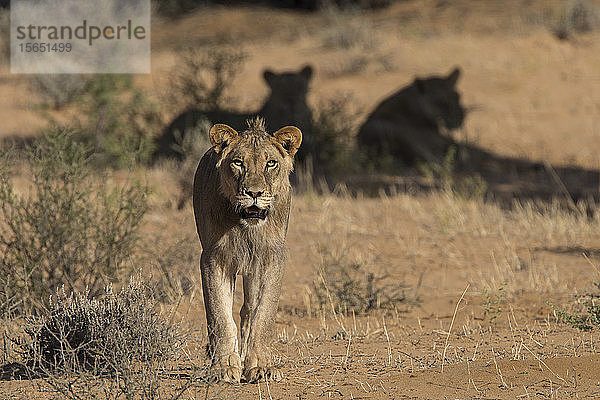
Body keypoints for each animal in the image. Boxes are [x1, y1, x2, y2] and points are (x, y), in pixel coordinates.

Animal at [195, 116, 302, 384]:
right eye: (238, 162)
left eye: (271, 163)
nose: (254, 193)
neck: (245, 226)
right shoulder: (213, 258)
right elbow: (219, 315)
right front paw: (224, 366)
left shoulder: (272, 258)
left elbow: (263, 316)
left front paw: (260, 367)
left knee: (248, 311)